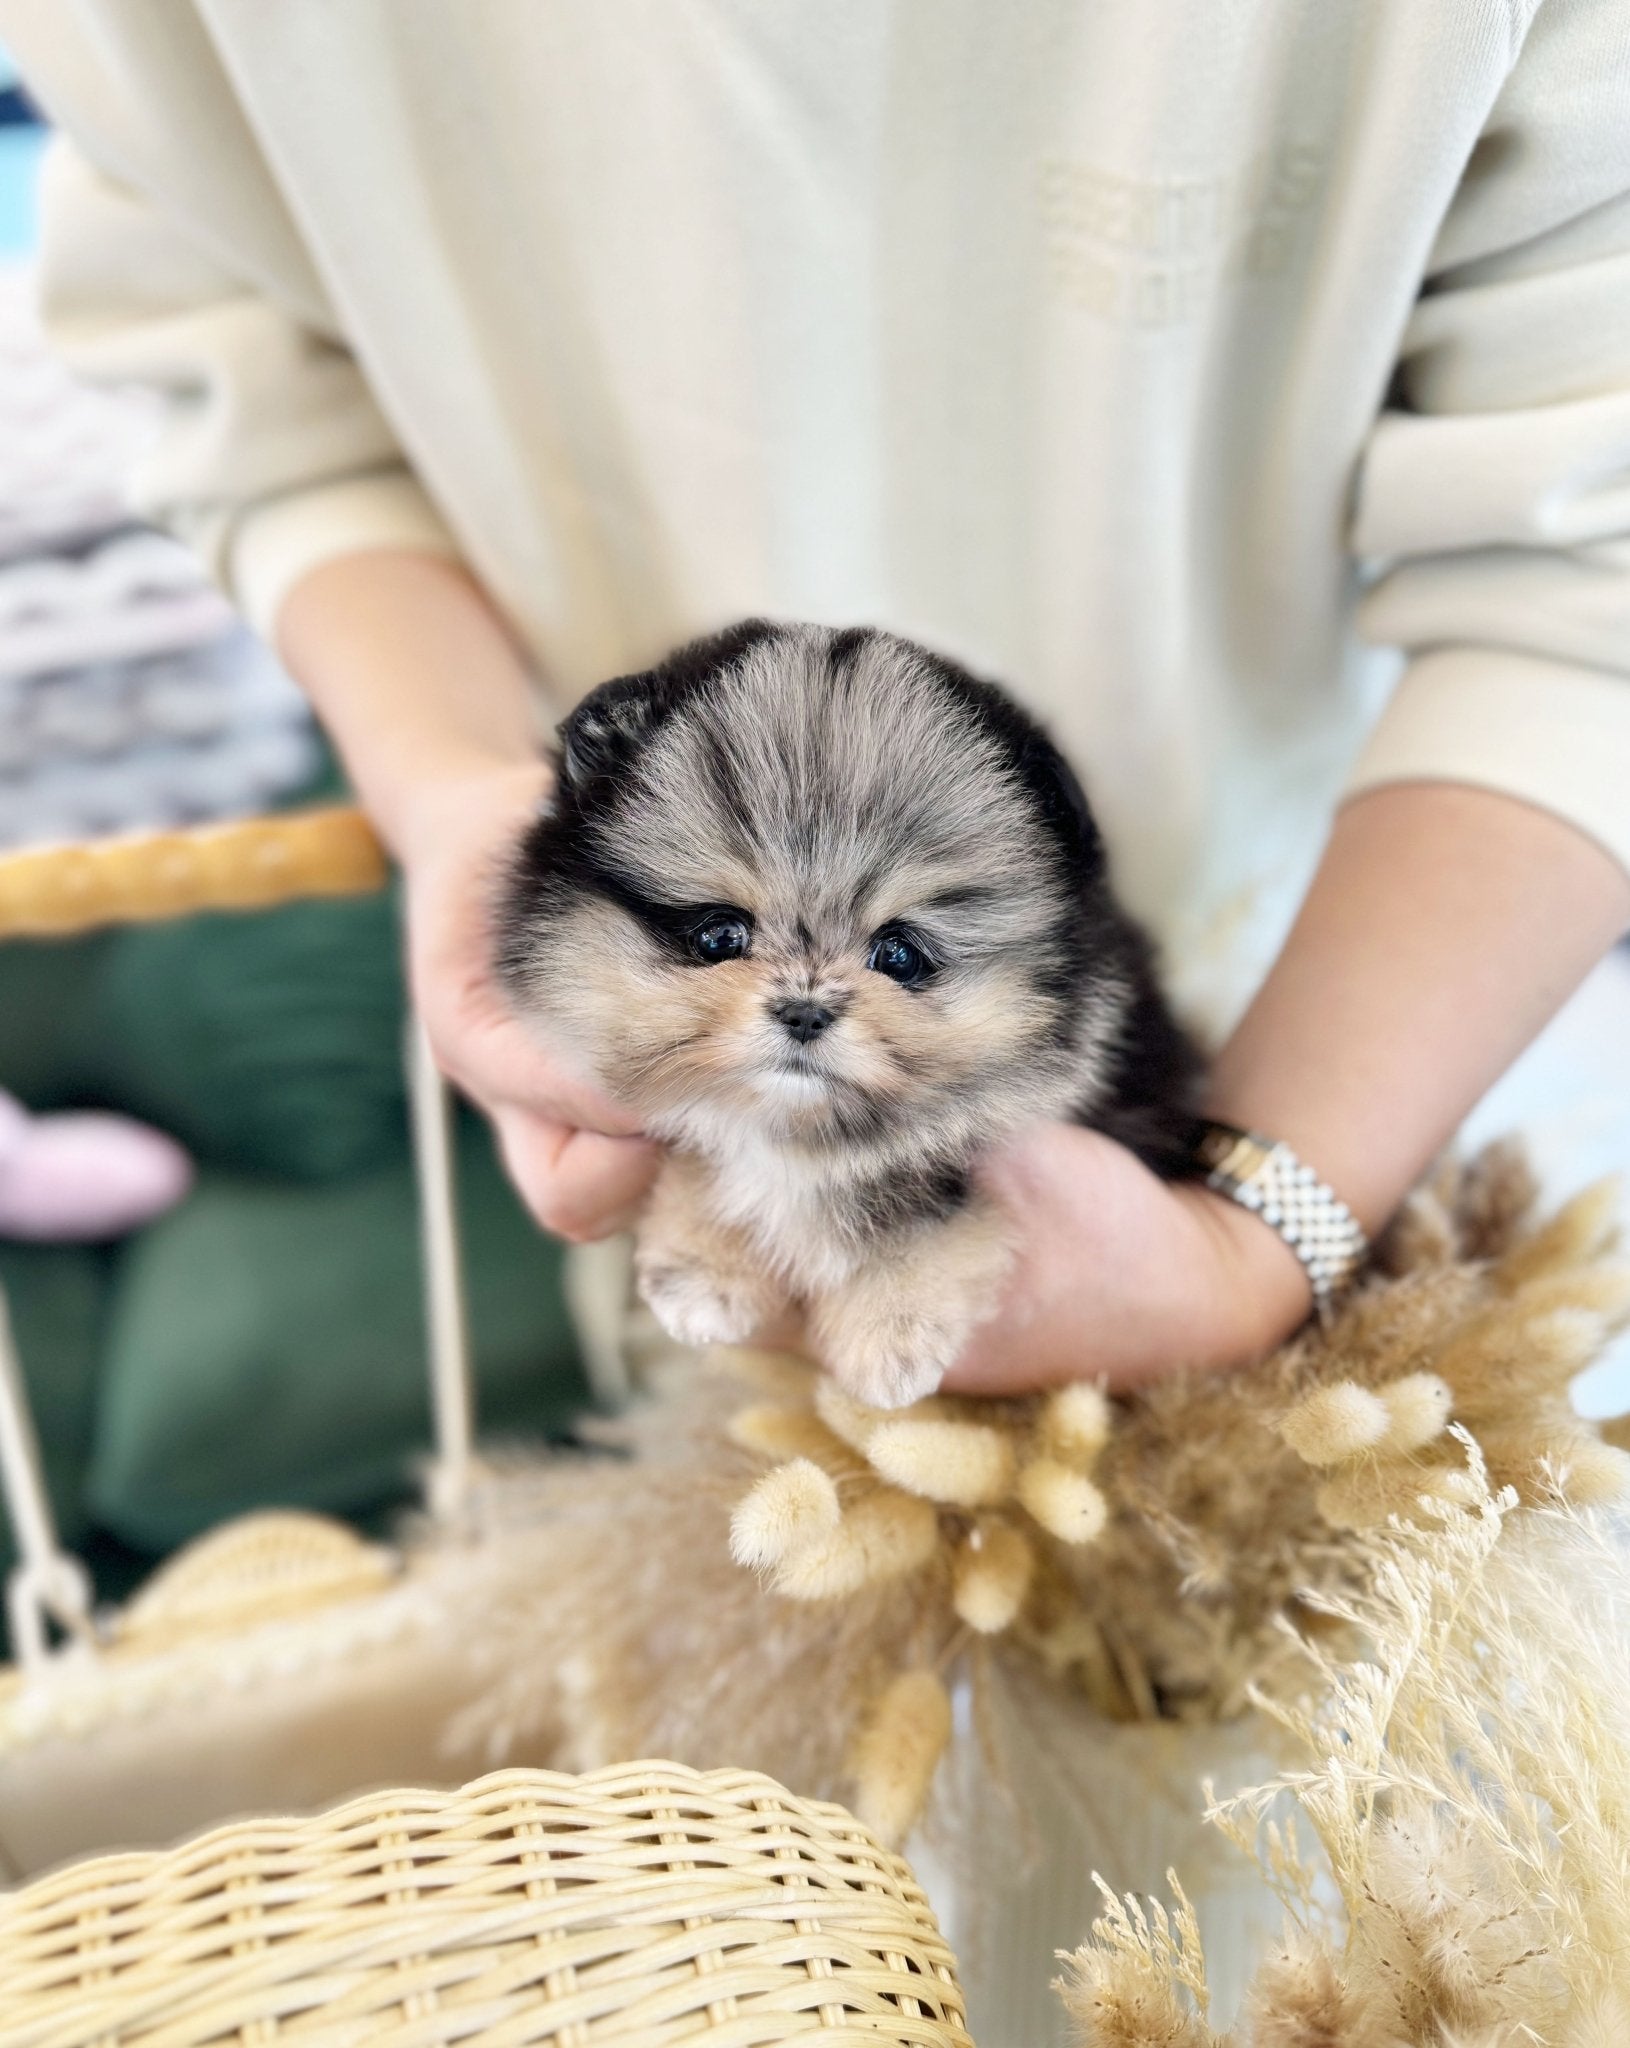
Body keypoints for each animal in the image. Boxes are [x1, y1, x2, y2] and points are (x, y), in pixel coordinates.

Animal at [497, 622, 1195, 1409]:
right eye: (719, 936)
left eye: (899, 954)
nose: (804, 1012)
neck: (798, 1128)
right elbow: (702, 1135)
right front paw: (706, 1271)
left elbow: (918, 1187)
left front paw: (892, 1330)